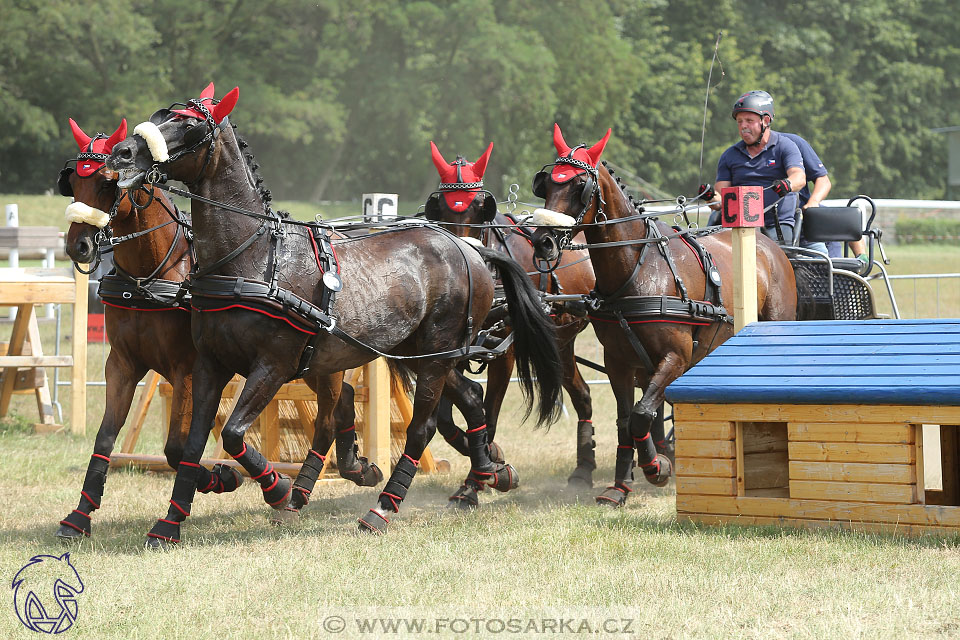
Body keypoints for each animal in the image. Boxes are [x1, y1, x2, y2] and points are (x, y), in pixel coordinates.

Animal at [55, 115, 378, 540]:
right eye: (73, 184)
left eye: (108, 183)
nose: (79, 246)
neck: (151, 275)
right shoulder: (122, 364)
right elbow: (106, 437)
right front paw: (79, 516)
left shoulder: (187, 371)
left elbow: (176, 448)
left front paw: (222, 478)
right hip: (310, 362)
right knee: (342, 401)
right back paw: (349, 469)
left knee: (331, 411)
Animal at [105, 82, 564, 544]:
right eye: (159, 114)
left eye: (189, 124)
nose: (122, 153)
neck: (253, 258)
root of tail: (469, 248)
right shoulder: (209, 364)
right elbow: (193, 443)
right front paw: (170, 522)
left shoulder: (272, 365)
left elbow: (233, 434)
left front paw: (278, 489)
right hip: (421, 353)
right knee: (468, 398)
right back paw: (487, 470)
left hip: (437, 354)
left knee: (422, 427)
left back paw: (384, 507)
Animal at [422, 142, 600, 498]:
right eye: (440, 208)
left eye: (481, 207)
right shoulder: (454, 350)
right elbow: (449, 417)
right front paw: (492, 458)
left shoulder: (504, 353)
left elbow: (488, 414)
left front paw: (477, 481)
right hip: (561, 344)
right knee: (583, 394)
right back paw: (583, 468)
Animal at [524, 124, 796, 504]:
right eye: (546, 184)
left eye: (580, 187)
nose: (543, 242)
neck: (637, 271)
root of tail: (772, 247)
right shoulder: (618, 362)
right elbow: (627, 419)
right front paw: (620, 485)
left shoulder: (676, 356)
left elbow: (641, 414)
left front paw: (657, 468)